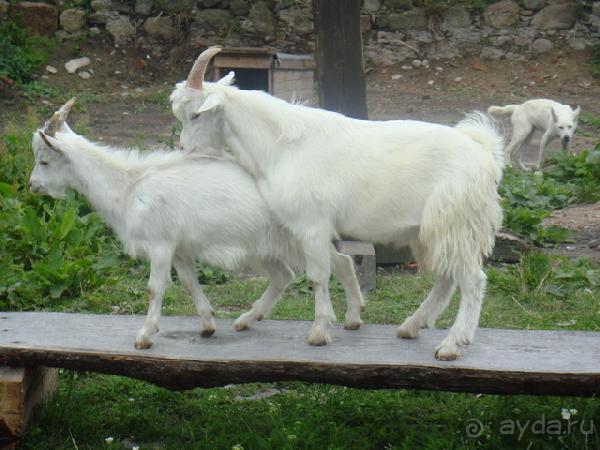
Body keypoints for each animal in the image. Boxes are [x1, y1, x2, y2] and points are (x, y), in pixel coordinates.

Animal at [28, 100, 364, 350]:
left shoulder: (160, 243)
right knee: (291, 274)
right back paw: (249, 319)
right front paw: (208, 324)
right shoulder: (180, 249)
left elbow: (155, 287)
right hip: (266, 247)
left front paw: (145, 336)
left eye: (44, 161)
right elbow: (190, 282)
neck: (129, 184)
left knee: (339, 263)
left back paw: (348, 319)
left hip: (298, 239)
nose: (32, 186)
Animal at [169, 47, 506, 360]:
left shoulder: (312, 223)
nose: (184, 149)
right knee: (446, 278)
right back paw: (411, 326)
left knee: (472, 281)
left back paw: (451, 344)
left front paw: (319, 331)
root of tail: (484, 152)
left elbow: (318, 276)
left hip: (456, 222)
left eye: (196, 115)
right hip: (431, 231)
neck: (280, 146)